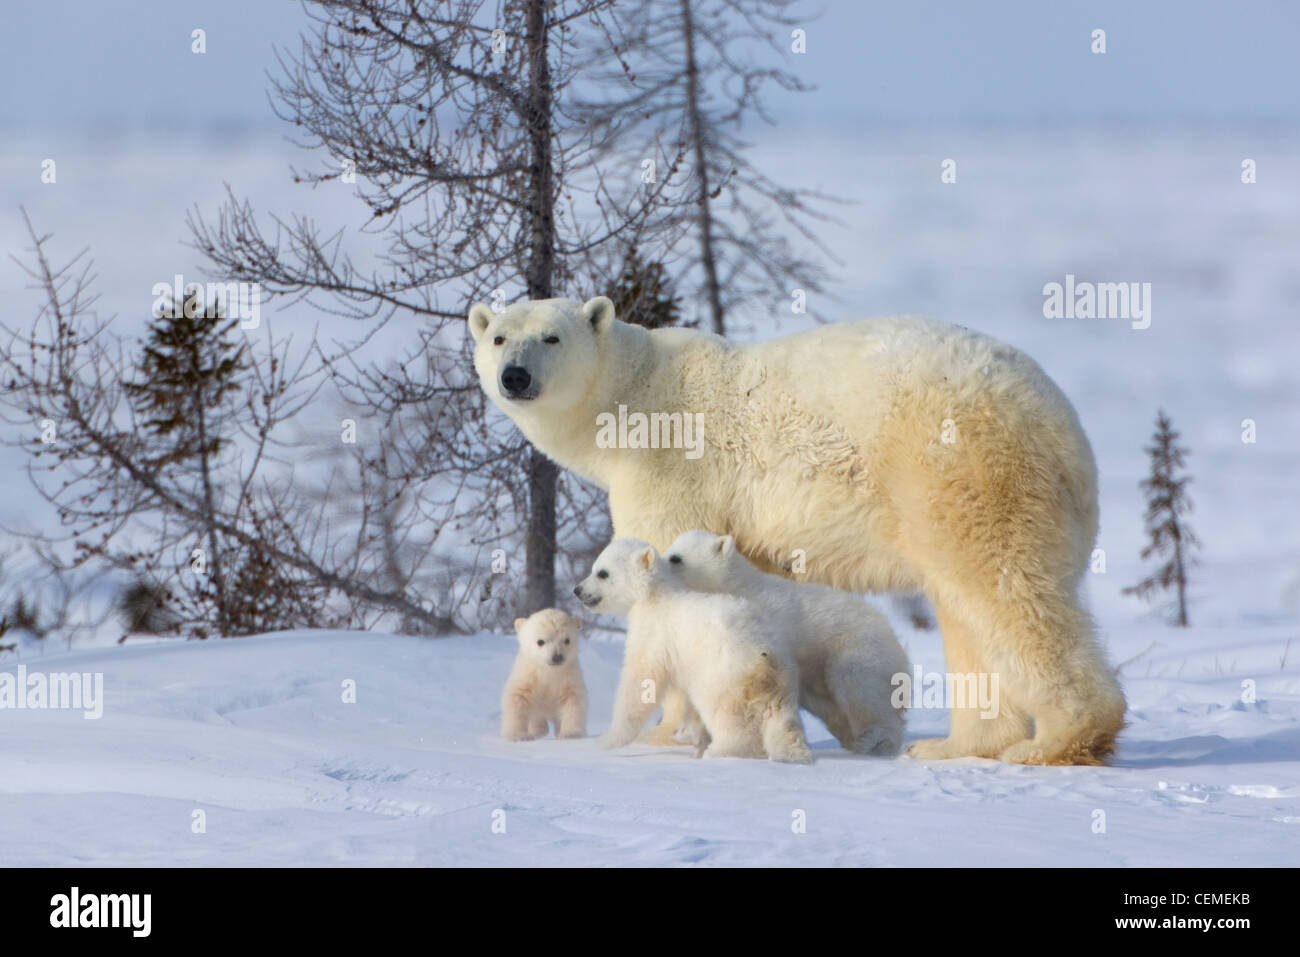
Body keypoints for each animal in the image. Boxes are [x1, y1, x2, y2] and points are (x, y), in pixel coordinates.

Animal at [499, 608, 587, 743]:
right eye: (540, 641)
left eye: (567, 640)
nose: (557, 657)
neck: (549, 671)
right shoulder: (528, 677)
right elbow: (517, 699)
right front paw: (519, 736)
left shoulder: (569, 677)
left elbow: (573, 700)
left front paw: (571, 734)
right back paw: (538, 730)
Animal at [574, 538, 806, 764]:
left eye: (602, 572)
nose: (577, 590)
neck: (656, 595)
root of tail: (765, 659)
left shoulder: (655, 634)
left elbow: (641, 681)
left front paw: (606, 740)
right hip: (785, 680)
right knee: (783, 720)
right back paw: (793, 753)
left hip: (724, 676)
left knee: (726, 715)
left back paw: (720, 751)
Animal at [665, 530, 909, 754]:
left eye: (675, 558)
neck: (736, 586)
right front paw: (688, 733)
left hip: (858, 648)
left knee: (862, 689)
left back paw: (874, 739)